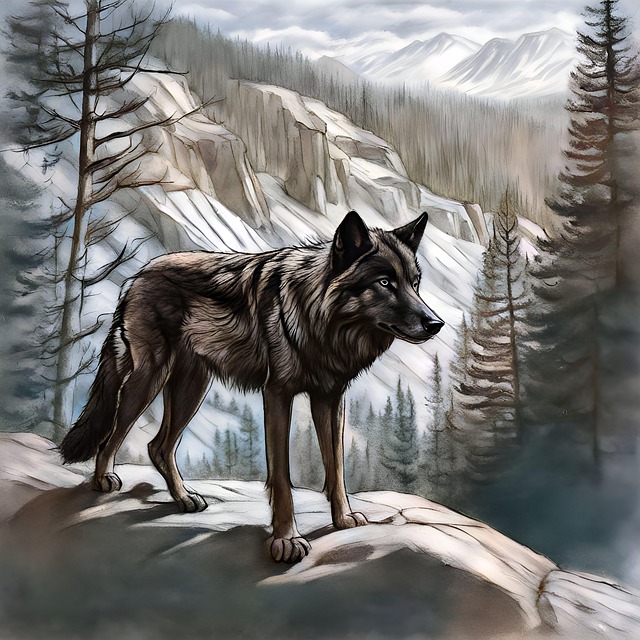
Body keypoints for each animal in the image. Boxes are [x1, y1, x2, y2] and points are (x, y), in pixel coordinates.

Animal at [60, 210, 444, 563]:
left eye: (415, 283)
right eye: (385, 282)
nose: (436, 323)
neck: (318, 319)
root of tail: (138, 276)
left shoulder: (330, 398)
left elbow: (335, 466)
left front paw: (343, 519)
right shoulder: (277, 395)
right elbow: (283, 478)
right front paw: (286, 541)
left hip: (191, 389)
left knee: (158, 446)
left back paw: (184, 499)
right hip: (149, 380)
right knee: (112, 435)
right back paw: (103, 480)